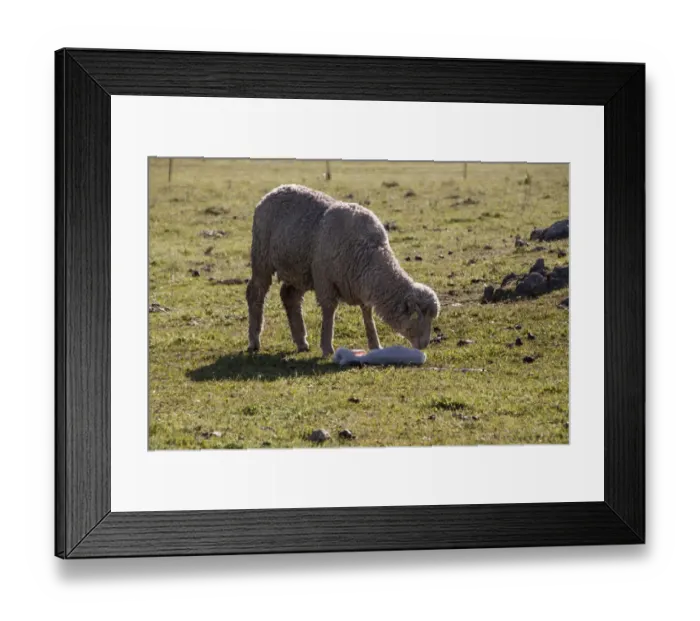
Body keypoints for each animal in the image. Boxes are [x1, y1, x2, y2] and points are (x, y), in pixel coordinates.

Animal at [246, 184, 440, 357]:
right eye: (417, 316)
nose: (424, 344)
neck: (368, 253)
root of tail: (275, 190)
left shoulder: (360, 284)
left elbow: (367, 313)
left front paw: (375, 345)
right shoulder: (324, 280)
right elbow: (329, 310)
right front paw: (327, 347)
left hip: (299, 269)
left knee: (289, 296)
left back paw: (301, 341)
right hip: (262, 258)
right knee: (255, 293)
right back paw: (254, 341)